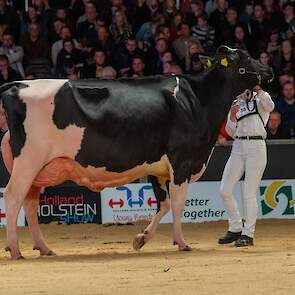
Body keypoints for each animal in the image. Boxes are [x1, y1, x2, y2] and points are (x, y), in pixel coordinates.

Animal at [0, 45, 274, 260]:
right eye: (243, 57)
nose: (269, 70)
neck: (197, 99)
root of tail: (17, 84)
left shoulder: (157, 167)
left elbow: (163, 204)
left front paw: (141, 238)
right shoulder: (182, 162)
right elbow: (177, 204)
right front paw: (182, 242)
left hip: (40, 168)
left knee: (30, 202)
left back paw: (44, 248)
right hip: (29, 160)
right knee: (13, 196)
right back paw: (15, 249)